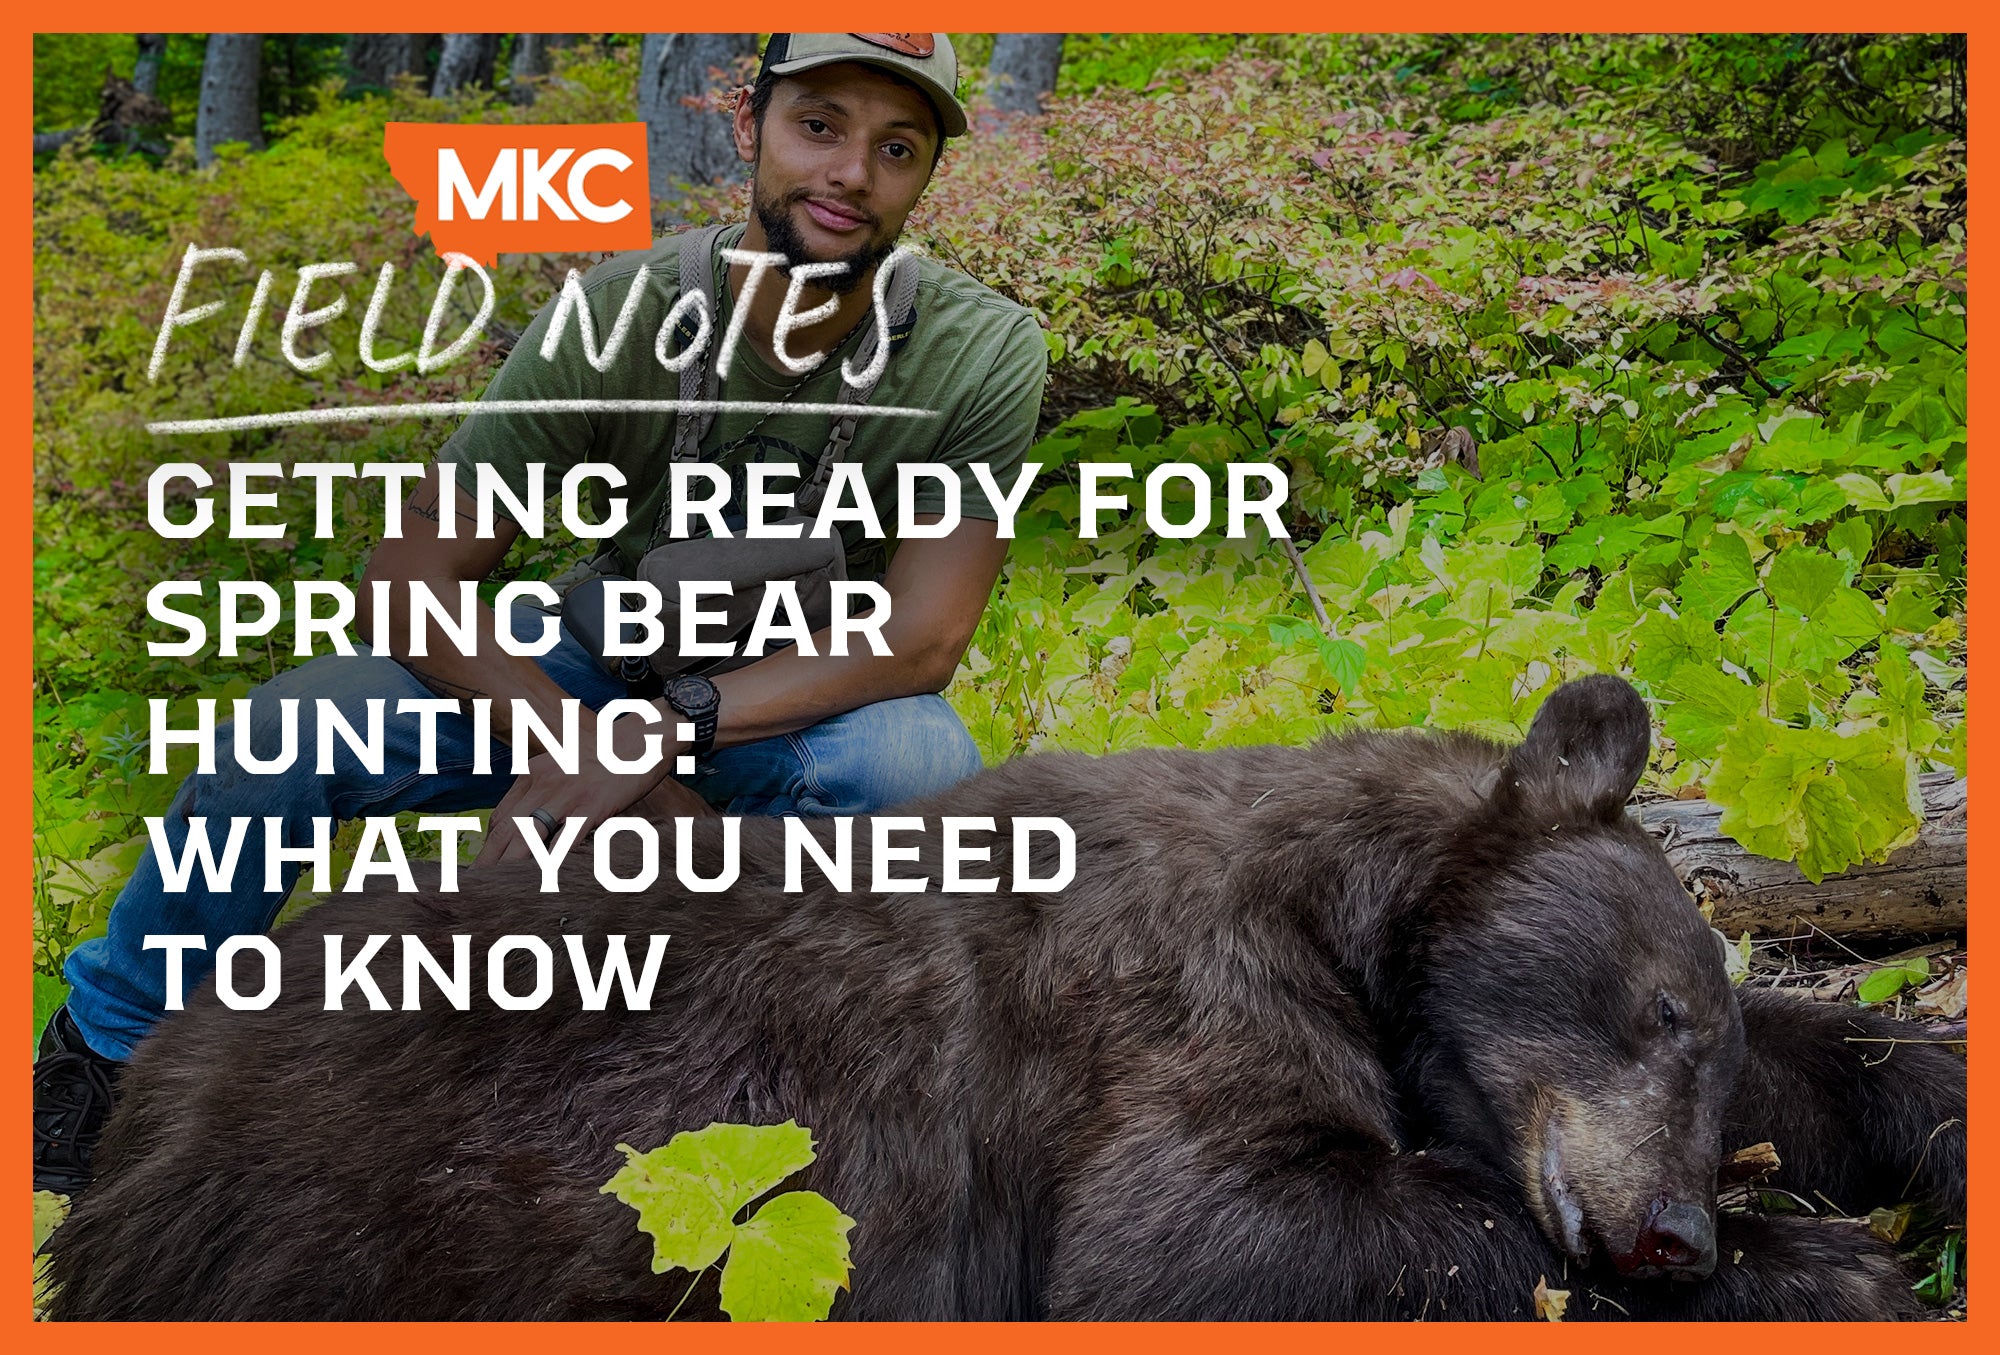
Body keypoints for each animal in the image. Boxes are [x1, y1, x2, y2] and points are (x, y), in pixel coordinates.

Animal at [43, 683, 1952, 1319]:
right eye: (1657, 1015)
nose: (1670, 1232)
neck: (1347, 926)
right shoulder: (1151, 1010)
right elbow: (1206, 1234)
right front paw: (1819, 1261)